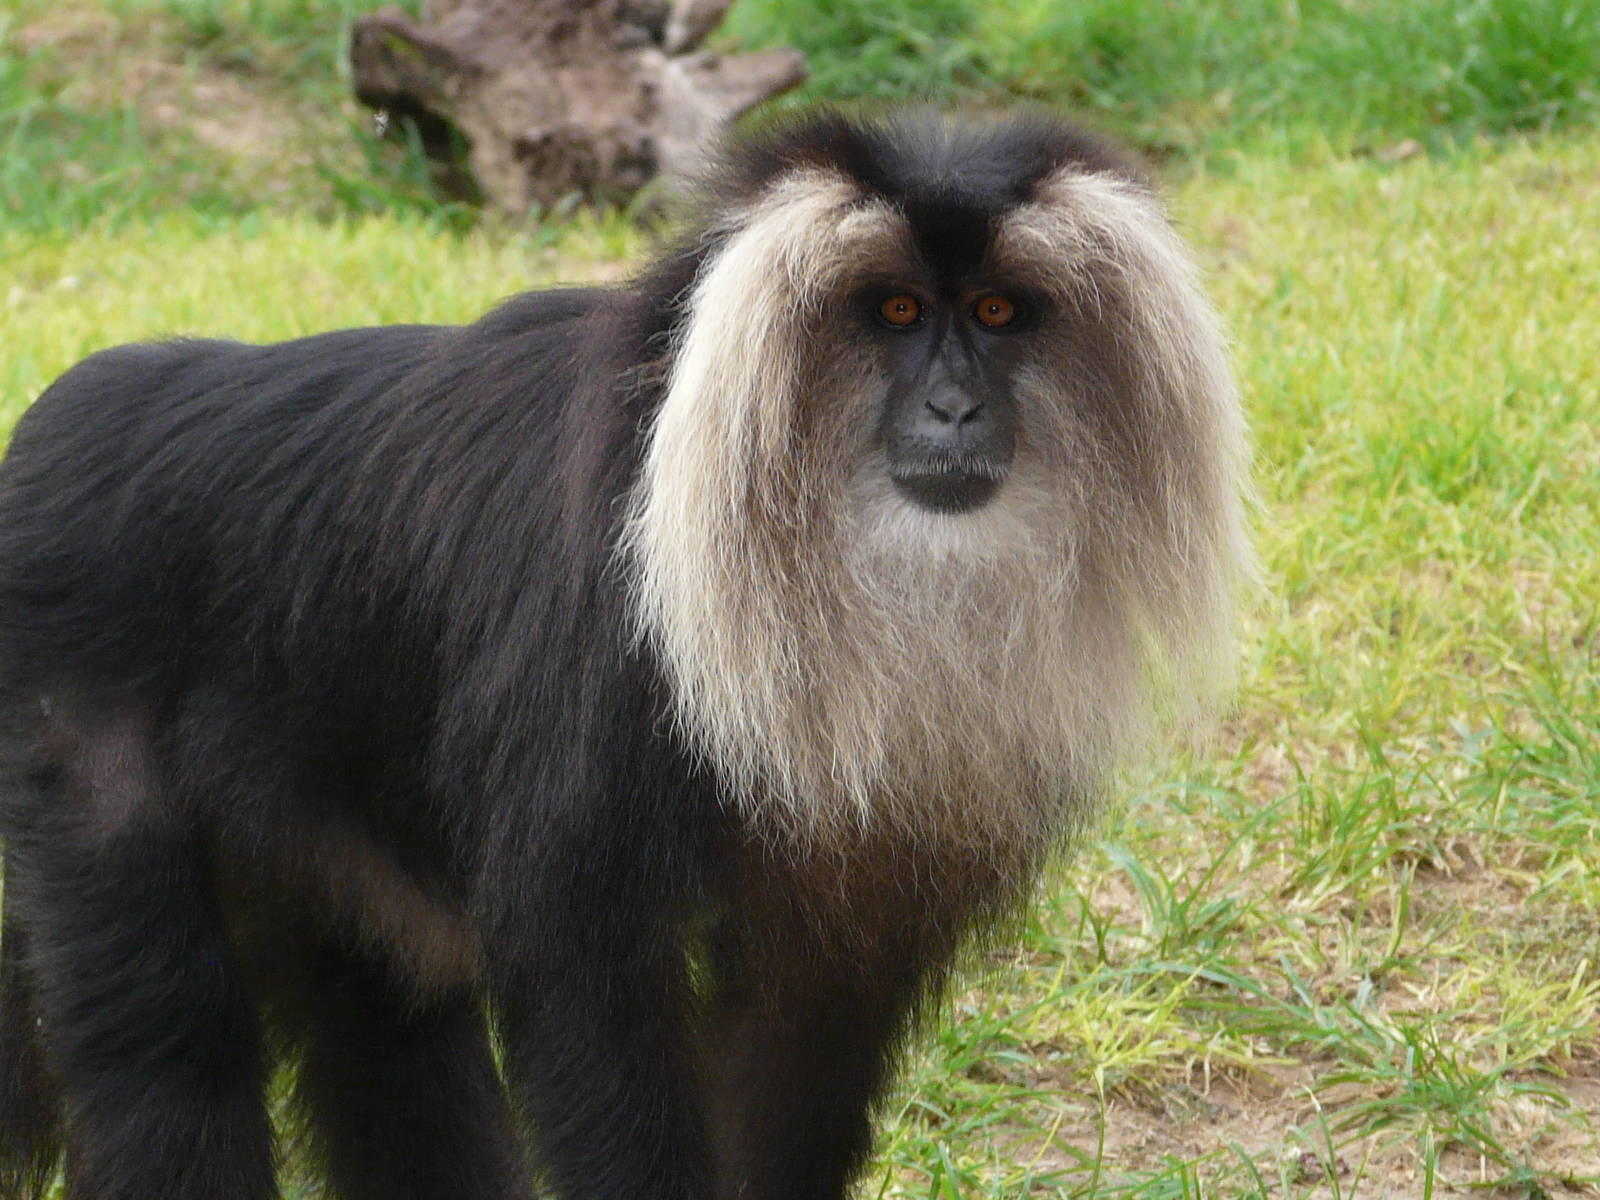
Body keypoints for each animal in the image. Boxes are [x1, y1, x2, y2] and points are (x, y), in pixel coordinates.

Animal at [0, 109, 1249, 1200]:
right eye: (893, 311)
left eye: (995, 312)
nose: (954, 410)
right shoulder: (595, 660)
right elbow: (584, 984)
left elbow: (798, 1033)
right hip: (71, 720)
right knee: (165, 1043)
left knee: (394, 1051)